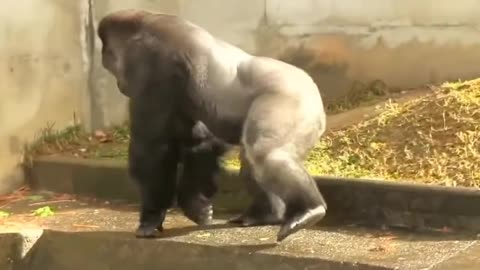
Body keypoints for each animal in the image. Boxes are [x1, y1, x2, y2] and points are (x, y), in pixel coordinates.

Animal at [99, 8, 328, 243]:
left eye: (110, 64)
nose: (120, 85)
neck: (144, 24)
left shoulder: (149, 63)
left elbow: (152, 150)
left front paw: (152, 216)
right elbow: (202, 143)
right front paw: (194, 204)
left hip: (292, 98)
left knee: (267, 154)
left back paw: (309, 210)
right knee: (252, 159)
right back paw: (265, 214)